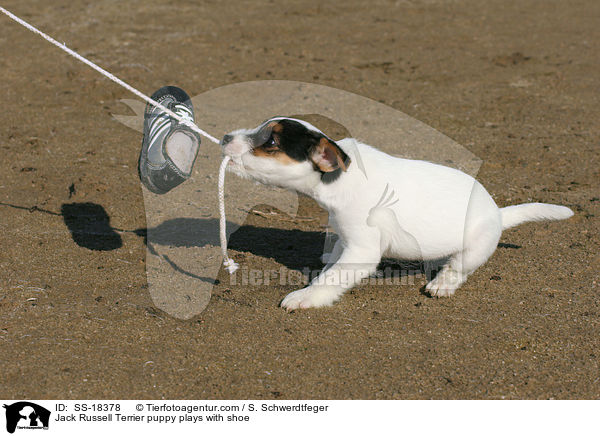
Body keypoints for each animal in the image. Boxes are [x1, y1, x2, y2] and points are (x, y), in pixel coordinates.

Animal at [219, 116, 572, 310]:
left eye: (271, 142)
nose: (224, 136)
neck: (339, 178)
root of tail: (499, 213)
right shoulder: (346, 237)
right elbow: (333, 259)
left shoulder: (362, 250)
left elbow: (332, 277)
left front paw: (306, 296)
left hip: (474, 248)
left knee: (458, 268)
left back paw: (442, 283)